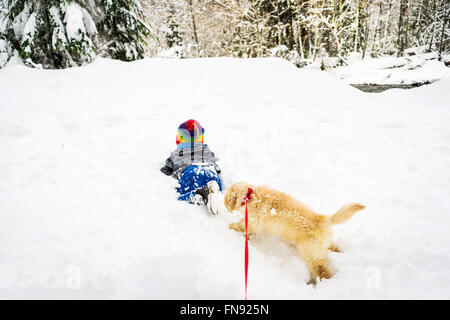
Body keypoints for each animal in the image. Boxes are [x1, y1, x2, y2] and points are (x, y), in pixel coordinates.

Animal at [223, 181, 364, 284]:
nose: (224, 205)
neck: (249, 196)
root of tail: (321, 219)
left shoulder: (253, 222)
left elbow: (242, 225)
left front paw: (231, 226)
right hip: (321, 245)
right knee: (331, 247)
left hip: (310, 253)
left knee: (321, 271)